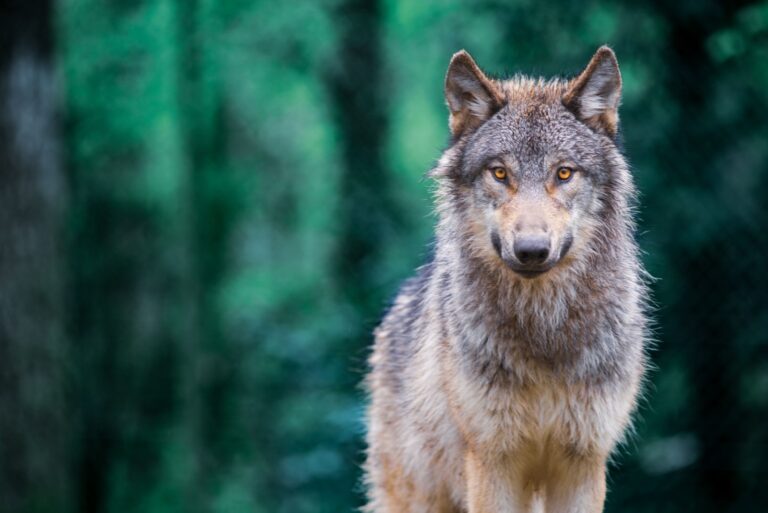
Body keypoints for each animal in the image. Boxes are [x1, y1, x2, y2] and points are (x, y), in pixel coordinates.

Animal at [363, 47, 649, 513]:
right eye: (499, 173)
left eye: (564, 173)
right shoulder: (493, 460)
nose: (531, 250)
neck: (543, 332)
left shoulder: (583, 461)